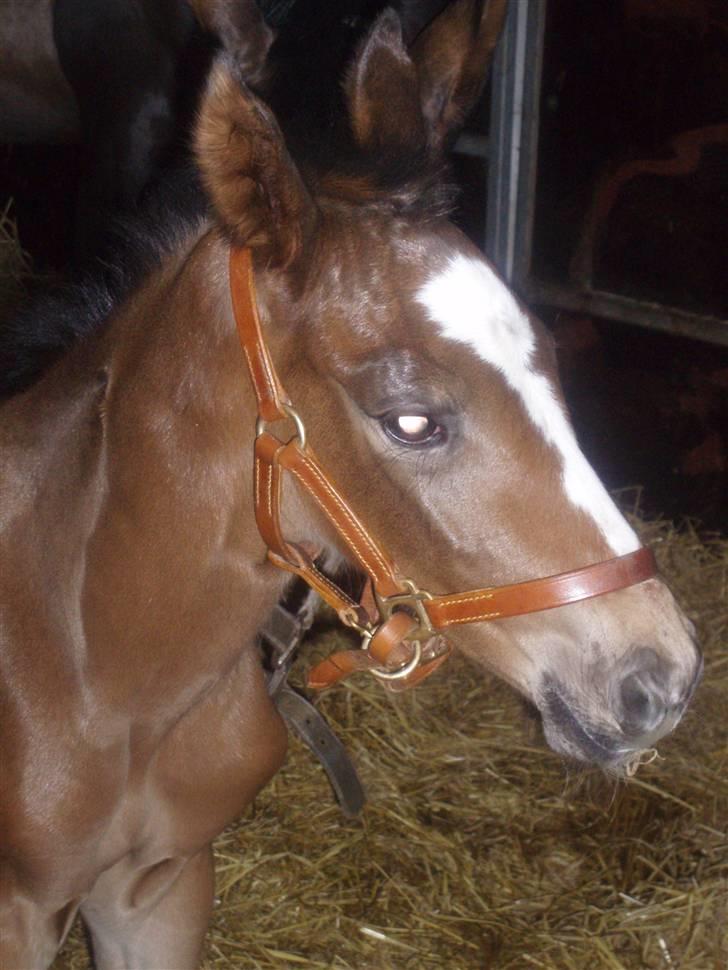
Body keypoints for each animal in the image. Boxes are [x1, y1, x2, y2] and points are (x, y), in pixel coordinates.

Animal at [1, 1, 700, 968]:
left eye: (551, 358)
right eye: (409, 420)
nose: (661, 680)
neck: (100, 672)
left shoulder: (164, 888)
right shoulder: (21, 910)